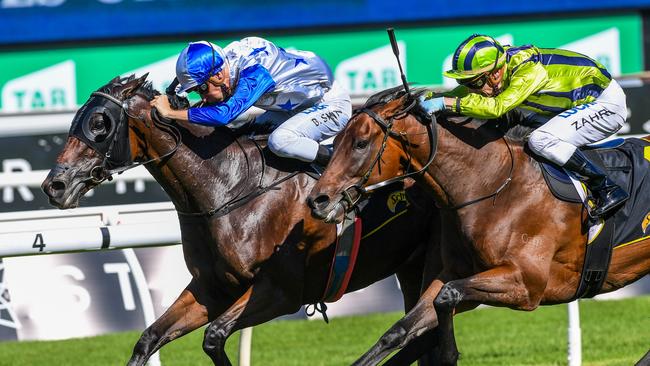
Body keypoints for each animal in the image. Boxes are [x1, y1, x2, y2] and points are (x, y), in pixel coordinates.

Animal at [39, 76, 436, 364]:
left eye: (100, 123)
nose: (54, 185)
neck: (229, 187)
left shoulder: (281, 292)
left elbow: (214, 337)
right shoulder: (211, 288)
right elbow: (149, 337)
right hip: (412, 266)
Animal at [306, 86, 648, 366]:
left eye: (361, 143)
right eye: (335, 141)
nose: (317, 200)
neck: (493, 186)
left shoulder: (526, 284)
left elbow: (447, 297)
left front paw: (448, 355)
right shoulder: (455, 274)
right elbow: (401, 329)